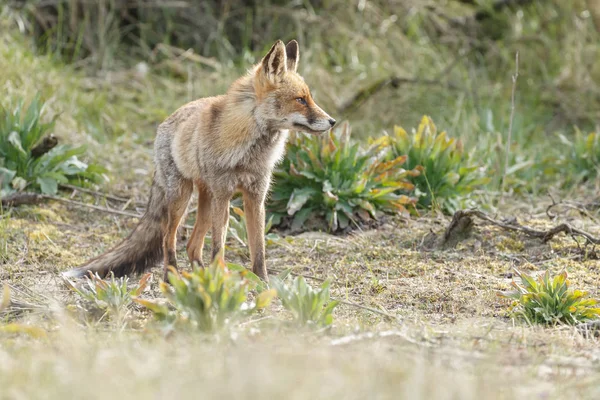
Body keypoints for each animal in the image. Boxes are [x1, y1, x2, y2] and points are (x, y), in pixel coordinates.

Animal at [63, 39, 336, 282]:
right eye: (300, 99)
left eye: (309, 97)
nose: (332, 121)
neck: (248, 153)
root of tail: (166, 122)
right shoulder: (224, 195)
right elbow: (218, 247)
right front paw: (222, 280)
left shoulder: (255, 196)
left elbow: (258, 250)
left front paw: (262, 284)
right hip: (182, 199)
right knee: (169, 239)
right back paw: (171, 277)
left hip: (205, 202)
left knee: (192, 246)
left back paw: (201, 278)